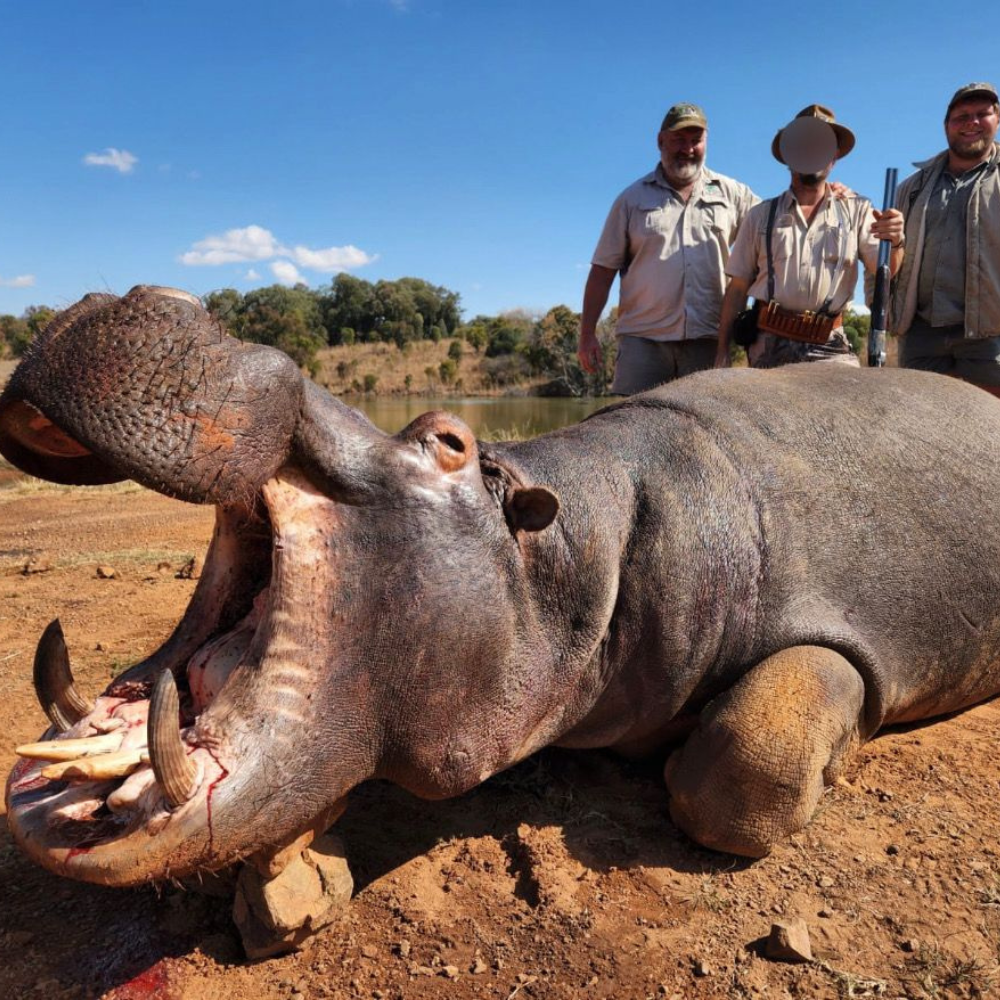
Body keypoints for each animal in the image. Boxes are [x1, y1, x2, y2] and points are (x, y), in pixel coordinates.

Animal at [5, 286, 1000, 938]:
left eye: (449, 440)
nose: (149, 293)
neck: (575, 548)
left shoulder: (847, 639)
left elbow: (747, 761)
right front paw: (292, 886)